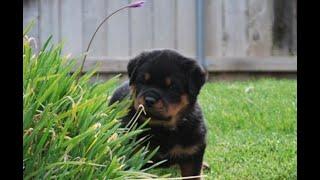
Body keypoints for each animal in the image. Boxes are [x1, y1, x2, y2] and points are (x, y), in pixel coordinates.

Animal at [109, 48, 208, 179]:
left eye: (172, 87)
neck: (163, 128)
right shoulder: (135, 156)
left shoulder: (192, 154)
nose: (149, 100)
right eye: (142, 81)